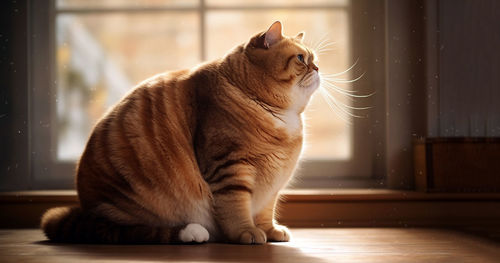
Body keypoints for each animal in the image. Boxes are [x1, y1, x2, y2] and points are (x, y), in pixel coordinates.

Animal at [40, 21, 320, 245]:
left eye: (314, 58)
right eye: (300, 59)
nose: (317, 69)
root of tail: (87, 215)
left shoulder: (272, 186)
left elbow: (265, 211)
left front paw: (270, 231)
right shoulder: (229, 169)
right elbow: (236, 209)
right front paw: (246, 233)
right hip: (128, 212)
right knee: (136, 232)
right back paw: (191, 233)